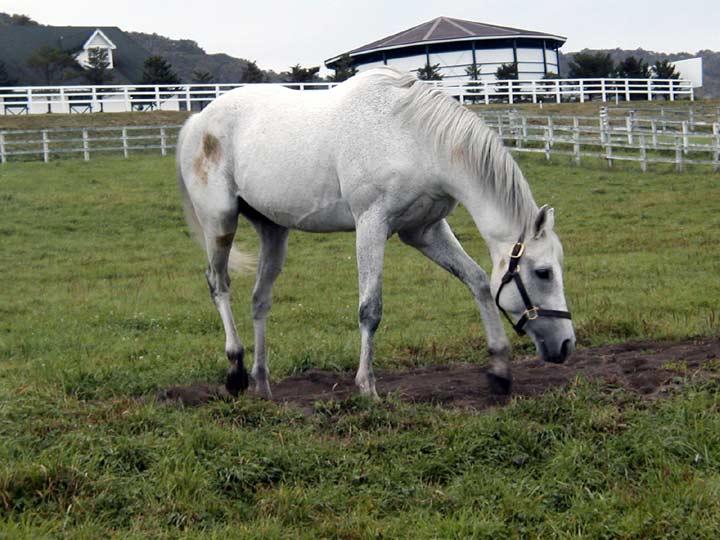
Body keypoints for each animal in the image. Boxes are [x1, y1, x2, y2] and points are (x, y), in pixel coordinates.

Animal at [177, 67, 576, 398]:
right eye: (543, 273)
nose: (567, 345)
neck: (413, 137)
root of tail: (198, 120)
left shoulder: (424, 231)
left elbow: (478, 282)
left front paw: (499, 369)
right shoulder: (371, 224)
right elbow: (370, 309)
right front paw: (366, 386)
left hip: (273, 231)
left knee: (260, 299)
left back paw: (262, 382)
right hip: (220, 222)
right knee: (218, 284)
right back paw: (236, 371)